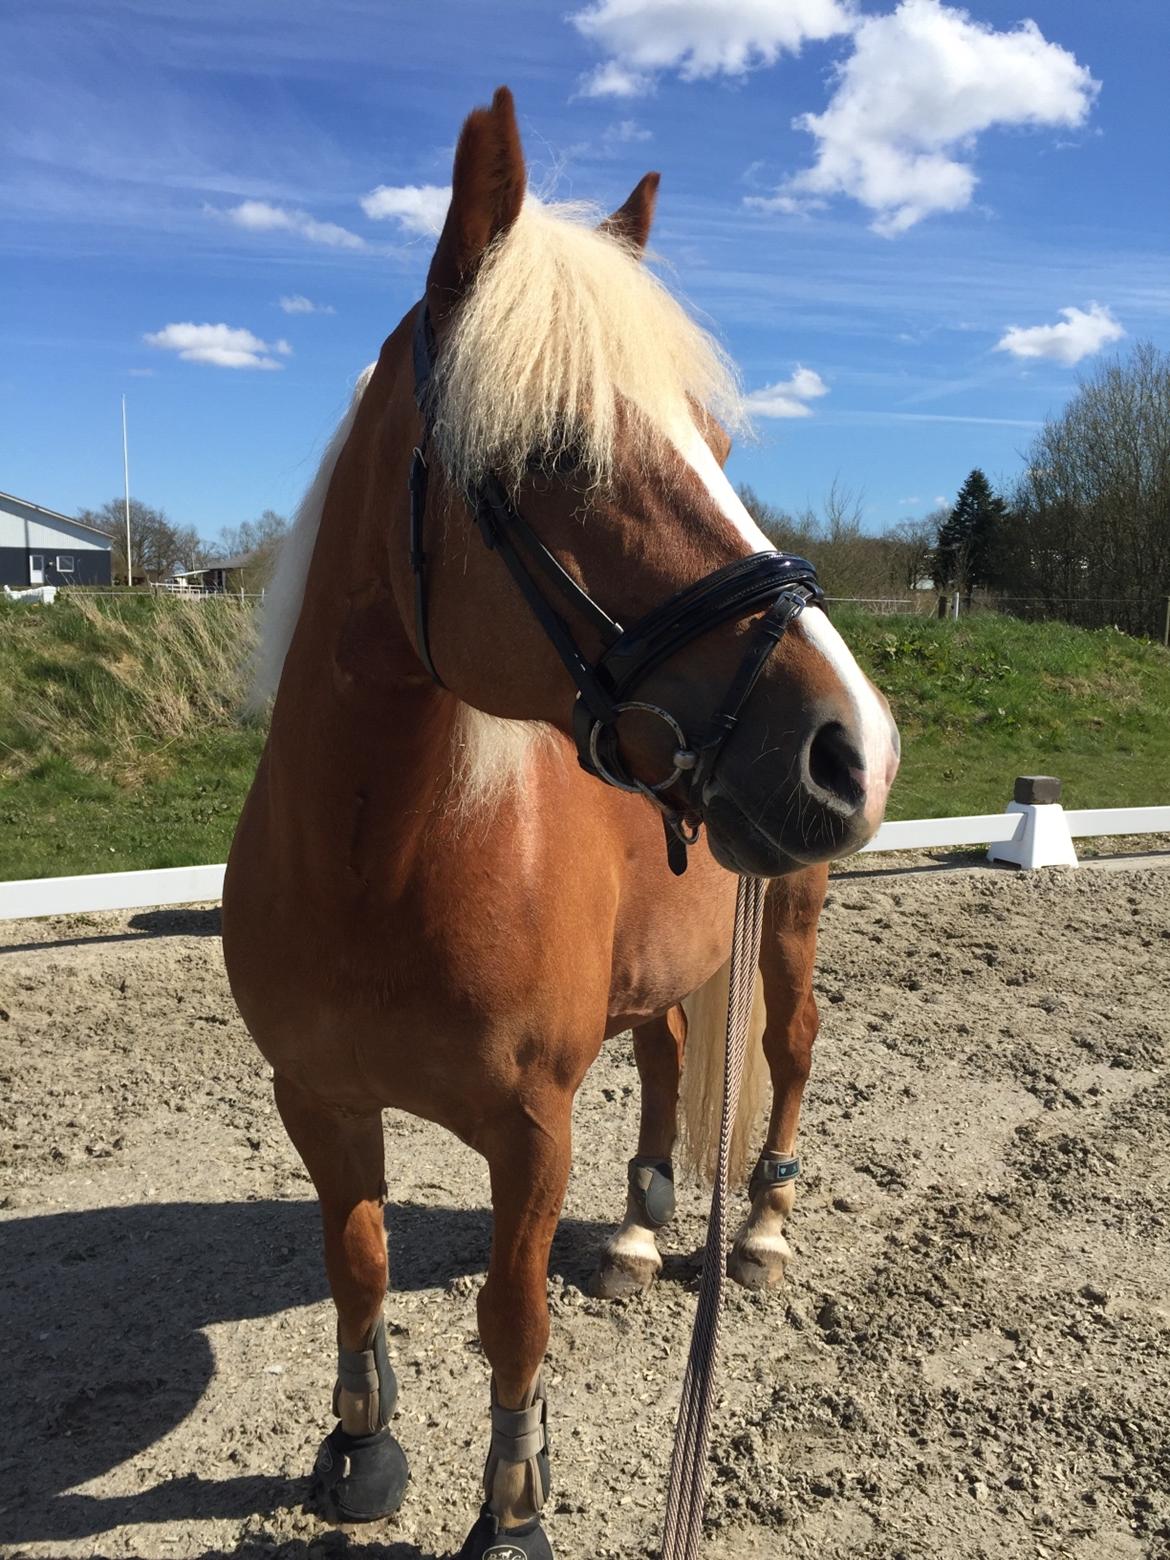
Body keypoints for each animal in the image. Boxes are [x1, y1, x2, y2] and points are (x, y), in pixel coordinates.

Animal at [224, 91, 904, 1560]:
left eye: (719, 445)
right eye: (552, 453)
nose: (855, 748)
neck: (379, 862)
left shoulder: (530, 1132)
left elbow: (511, 1318)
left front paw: (512, 1512)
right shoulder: (317, 1096)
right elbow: (356, 1261)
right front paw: (359, 1446)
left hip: (789, 923)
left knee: (791, 1048)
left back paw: (758, 1227)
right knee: (665, 1058)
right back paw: (645, 1234)